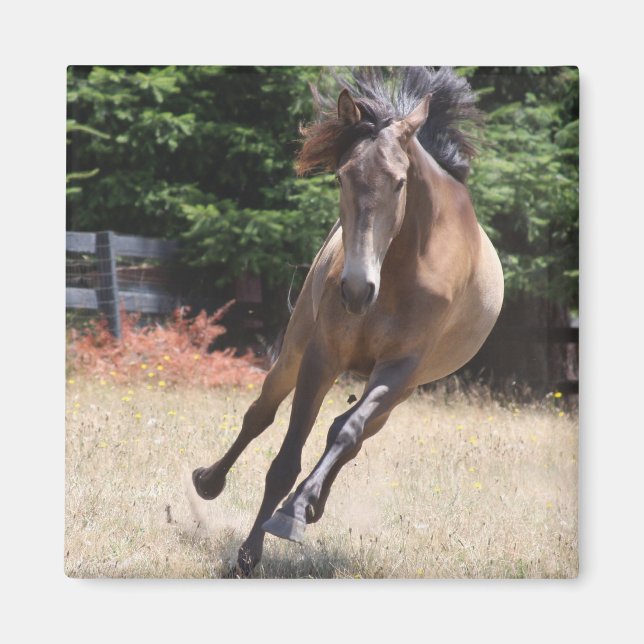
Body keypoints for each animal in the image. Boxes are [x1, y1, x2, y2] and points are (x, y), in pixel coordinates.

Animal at [192, 67, 504, 576]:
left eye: (399, 182)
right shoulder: (322, 355)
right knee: (260, 414)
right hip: (295, 349)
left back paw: (314, 503)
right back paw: (209, 481)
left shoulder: (398, 370)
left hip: (403, 392)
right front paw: (250, 553)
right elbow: (285, 460)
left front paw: (297, 511)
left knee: (350, 433)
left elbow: (346, 432)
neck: (402, 268)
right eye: (341, 177)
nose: (357, 290)